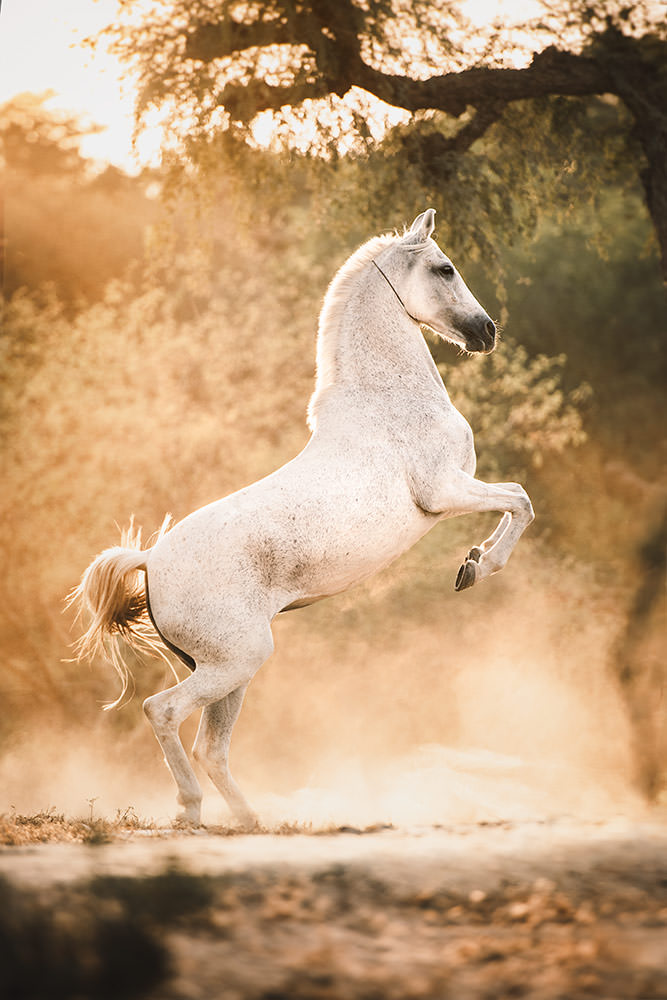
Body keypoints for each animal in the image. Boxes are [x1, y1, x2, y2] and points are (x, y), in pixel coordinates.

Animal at [72, 209, 534, 826]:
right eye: (445, 268)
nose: (487, 332)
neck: (388, 401)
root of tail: (151, 560)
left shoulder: (457, 490)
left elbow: (515, 499)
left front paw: (472, 562)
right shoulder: (445, 492)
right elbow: (519, 499)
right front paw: (476, 568)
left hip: (225, 670)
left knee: (210, 747)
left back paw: (248, 820)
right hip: (235, 662)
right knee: (162, 713)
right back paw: (191, 812)